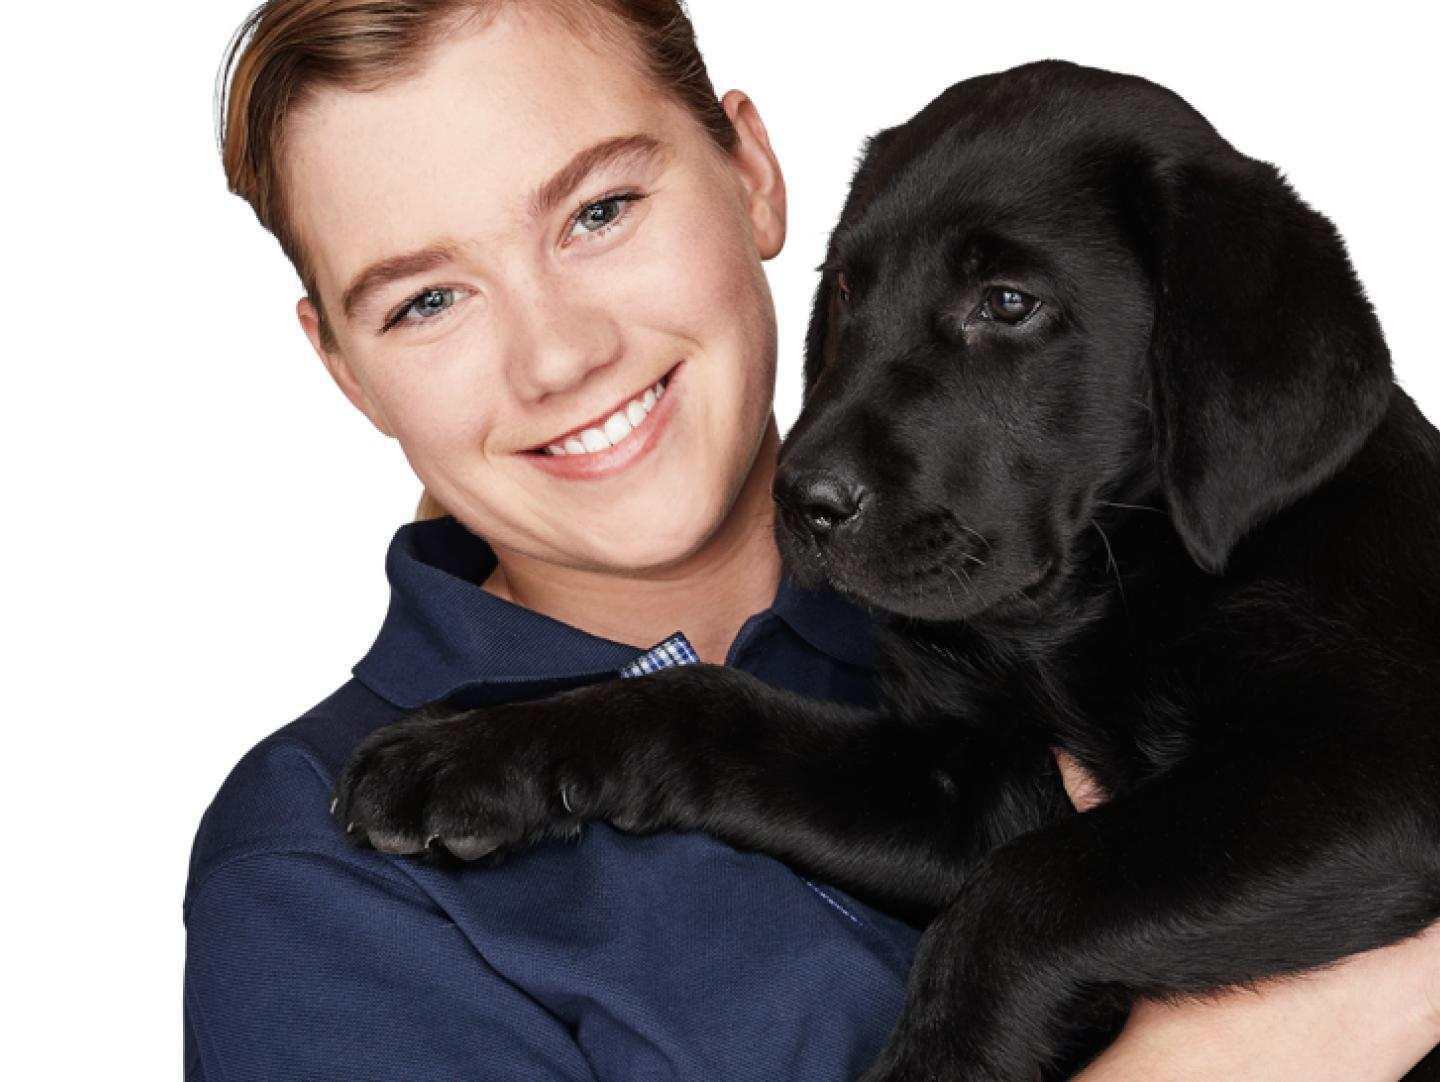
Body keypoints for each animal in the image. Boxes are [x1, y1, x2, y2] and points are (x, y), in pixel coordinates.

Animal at [329, 61, 1440, 1082]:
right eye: (849, 287)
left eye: (1008, 302)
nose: (800, 499)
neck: (1080, 611)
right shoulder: (964, 789)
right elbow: (709, 703)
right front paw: (474, 750)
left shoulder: (1377, 774)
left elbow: (1023, 897)